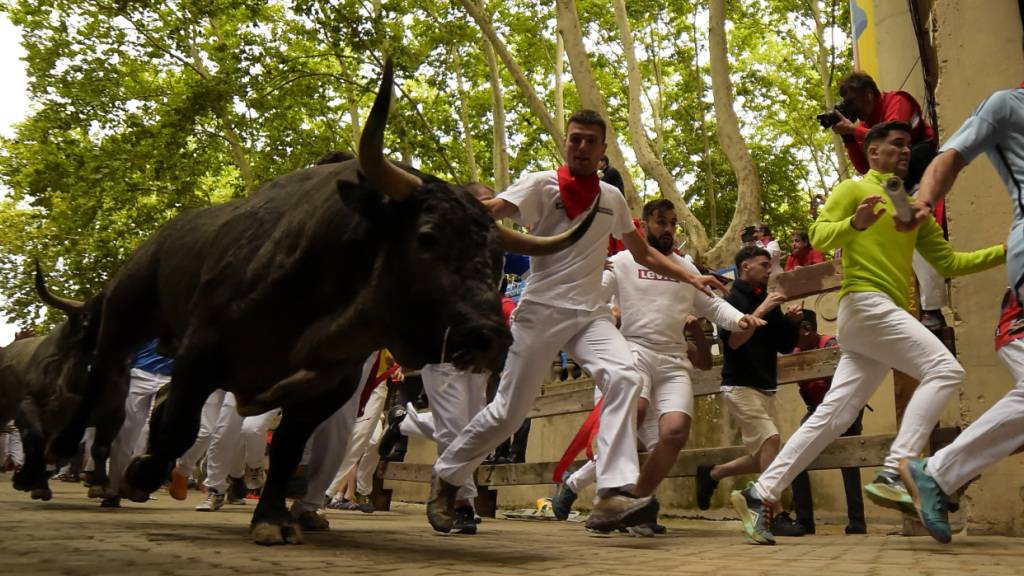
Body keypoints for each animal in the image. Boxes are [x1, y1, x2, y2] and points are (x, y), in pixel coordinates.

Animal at [37, 59, 598, 541]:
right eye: (427, 237)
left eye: (498, 259)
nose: (489, 338)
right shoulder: (200, 355)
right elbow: (177, 425)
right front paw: (140, 475)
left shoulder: (328, 386)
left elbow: (286, 449)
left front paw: (271, 518)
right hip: (126, 312)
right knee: (105, 375)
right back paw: (67, 456)